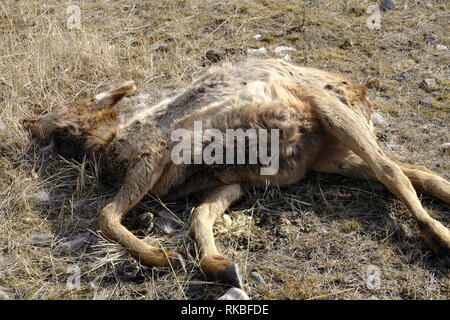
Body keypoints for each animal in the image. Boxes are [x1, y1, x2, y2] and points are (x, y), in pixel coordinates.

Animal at [23, 58, 450, 288]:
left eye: (63, 109)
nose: (27, 121)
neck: (106, 146)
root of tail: (360, 92)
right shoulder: (233, 183)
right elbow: (200, 215)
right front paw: (223, 268)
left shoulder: (152, 157)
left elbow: (106, 215)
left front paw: (165, 257)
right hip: (331, 156)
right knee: (414, 171)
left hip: (330, 111)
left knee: (392, 170)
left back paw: (440, 238)